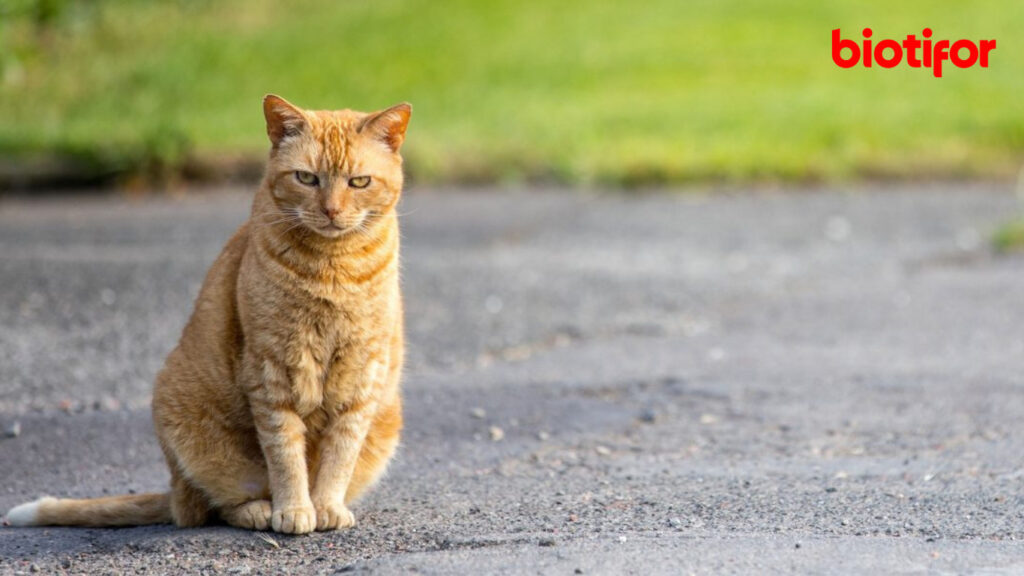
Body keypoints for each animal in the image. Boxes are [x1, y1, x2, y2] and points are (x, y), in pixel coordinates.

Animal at [4, 95, 411, 532]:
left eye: (359, 182)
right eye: (306, 178)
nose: (332, 211)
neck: (333, 268)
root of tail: (174, 492)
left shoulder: (362, 373)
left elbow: (341, 451)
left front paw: (326, 506)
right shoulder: (270, 371)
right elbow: (285, 452)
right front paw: (294, 509)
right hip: (194, 436)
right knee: (216, 505)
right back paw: (259, 510)